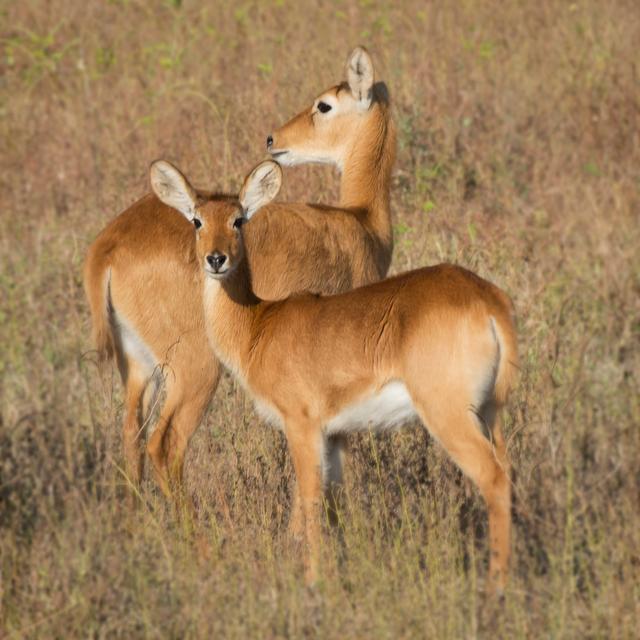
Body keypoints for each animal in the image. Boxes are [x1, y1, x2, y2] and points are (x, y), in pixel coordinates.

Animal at [82, 48, 396, 500]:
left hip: (139, 366)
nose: (273, 140)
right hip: (195, 370)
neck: (363, 222)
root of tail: (109, 244)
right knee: (165, 444)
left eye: (324, 105)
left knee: (132, 437)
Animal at [154, 159, 520, 592]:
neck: (258, 327)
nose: (216, 259)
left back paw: (496, 587)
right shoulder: (334, 434)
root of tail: (488, 301)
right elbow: (331, 504)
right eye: (197, 220)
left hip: (449, 416)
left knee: (494, 479)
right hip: (491, 413)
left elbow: (309, 500)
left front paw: (312, 581)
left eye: (238, 219)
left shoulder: (302, 425)